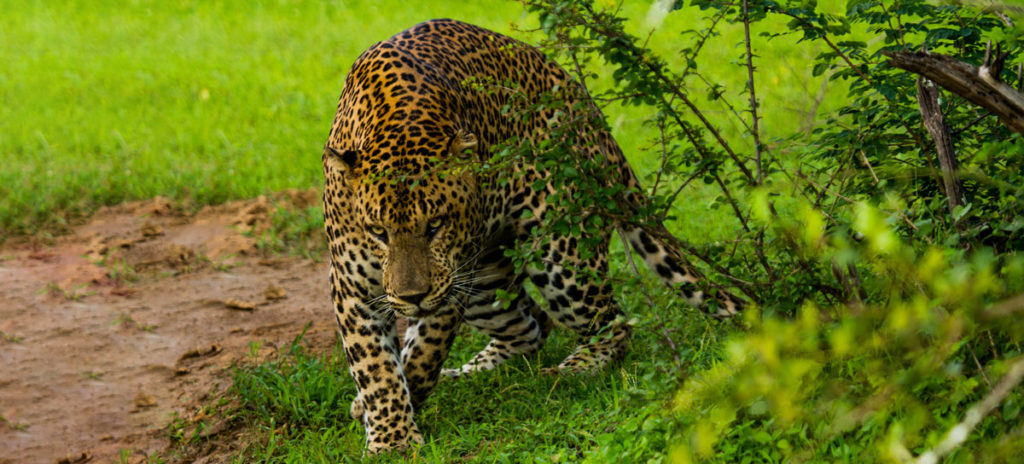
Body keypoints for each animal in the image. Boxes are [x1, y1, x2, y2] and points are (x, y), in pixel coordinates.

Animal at [322, 19, 746, 454]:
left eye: (435, 225)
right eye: (379, 231)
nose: (412, 297)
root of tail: (585, 104)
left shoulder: (449, 284)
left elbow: (424, 352)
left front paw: (398, 429)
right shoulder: (353, 287)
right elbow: (377, 370)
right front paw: (391, 434)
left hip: (561, 257)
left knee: (612, 323)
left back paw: (571, 371)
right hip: (487, 287)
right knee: (532, 324)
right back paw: (464, 372)